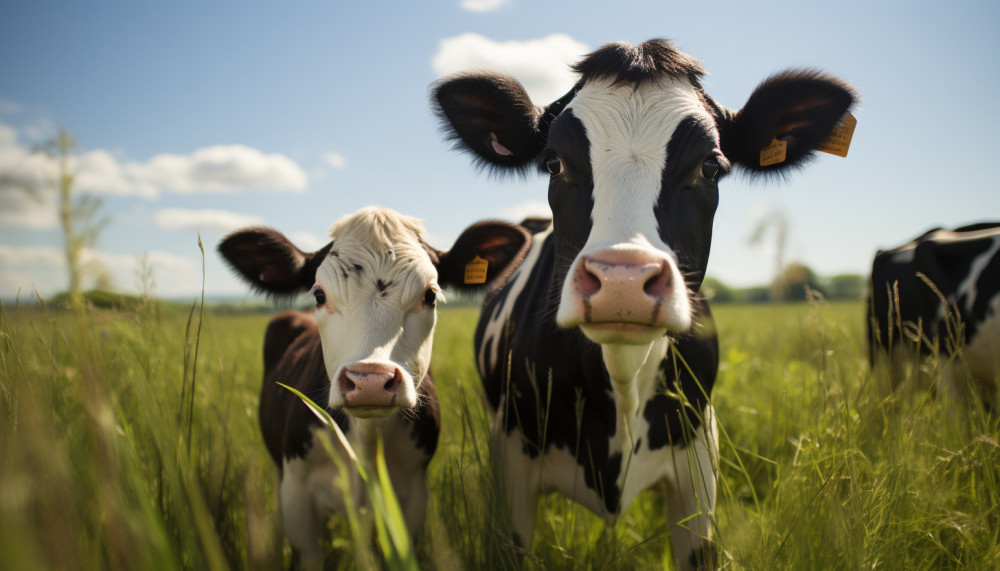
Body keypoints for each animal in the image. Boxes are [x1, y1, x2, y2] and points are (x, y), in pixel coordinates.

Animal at [218, 207, 530, 569]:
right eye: (319, 294)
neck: (366, 441)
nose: (370, 382)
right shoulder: (297, 496)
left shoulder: (413, 497)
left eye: (430, 294)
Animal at [432, 39, 857, 569]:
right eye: (554, 163)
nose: (623, 281)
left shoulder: (700, 465)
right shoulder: (511, 467)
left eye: (710, 166)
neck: (622, 380)